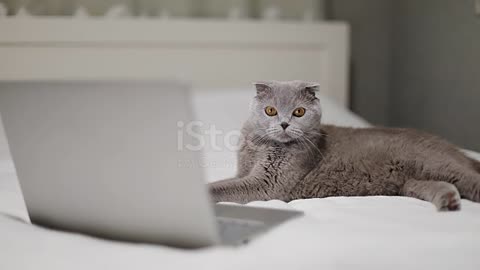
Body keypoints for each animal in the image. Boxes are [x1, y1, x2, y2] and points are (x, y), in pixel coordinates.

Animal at [209, 80, 480, 211]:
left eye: (299, 112)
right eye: (270, 110)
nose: (284, 123)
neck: (260, 146)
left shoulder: (269, 184)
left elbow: (224, 187)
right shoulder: (244, 173)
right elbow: (227, 181)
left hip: (435, 163)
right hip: (412, 182)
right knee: (439, 185)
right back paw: (449, 202)